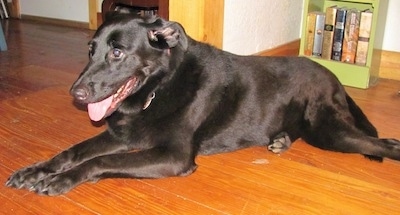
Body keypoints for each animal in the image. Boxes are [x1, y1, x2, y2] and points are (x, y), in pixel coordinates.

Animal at [5, 14, 400, 197]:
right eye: (90, 50)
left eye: (117, 52)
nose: (76, 93)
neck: (158, 88)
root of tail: (332, 75)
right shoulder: (121, 136)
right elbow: (72, 151)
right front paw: (36, 171)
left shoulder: (174, 156)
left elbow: (98, 162)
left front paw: (61, 179)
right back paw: (280, 140)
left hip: (329, 130)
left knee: (384, 143)